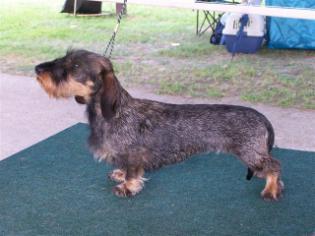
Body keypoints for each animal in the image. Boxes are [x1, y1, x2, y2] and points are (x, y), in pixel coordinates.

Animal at [34, 49, 284, 201]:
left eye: (75, 66)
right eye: (63, 58)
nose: (37, 69)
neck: (116, 112)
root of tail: (261, 117)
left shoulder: (133, 155)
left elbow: (132, 173)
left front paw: (127, 187)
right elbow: (124, 168)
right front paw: (120, 175)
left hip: (250, 153)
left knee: (275, 166)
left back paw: (271, 189)